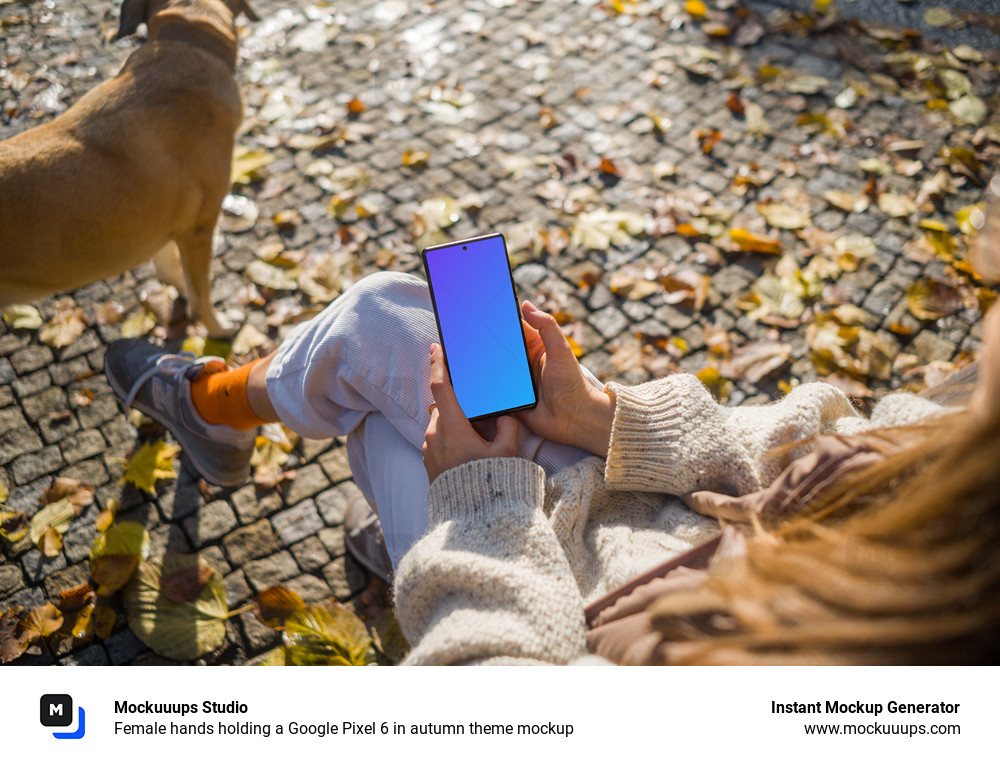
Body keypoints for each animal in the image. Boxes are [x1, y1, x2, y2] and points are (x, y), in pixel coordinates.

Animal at [0, 0, 258, 338]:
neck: (187, 43)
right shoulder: (198, 230)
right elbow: (202, 296)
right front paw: (219, 329)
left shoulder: (162, 229)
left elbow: (171, 269)